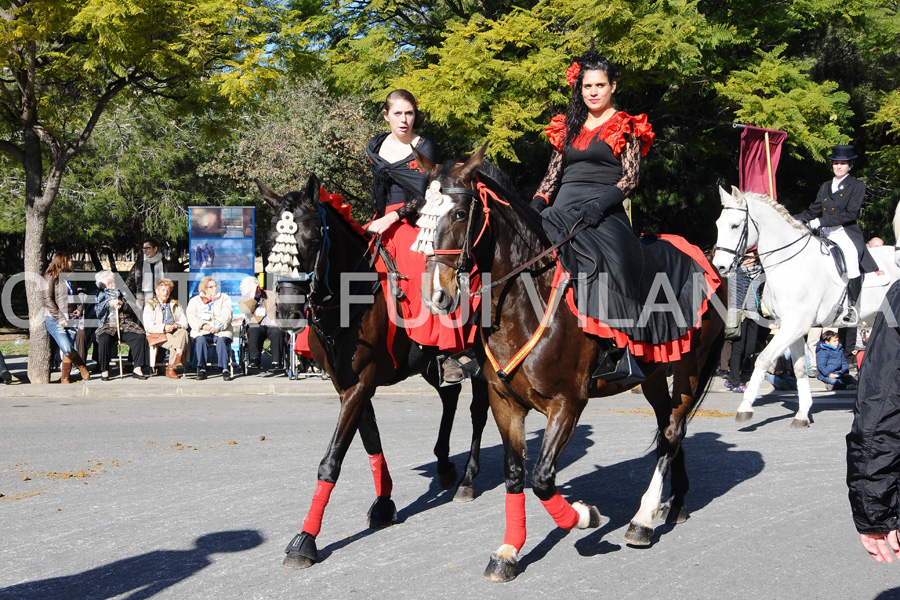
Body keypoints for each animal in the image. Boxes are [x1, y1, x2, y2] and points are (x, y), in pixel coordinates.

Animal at [256, 176, 488, 568]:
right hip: (428, 363)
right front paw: (383, 503)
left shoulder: (361, 383)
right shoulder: (349, 385)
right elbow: (371, 442)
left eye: (314, 240)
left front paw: (306, 539)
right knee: (450, 396)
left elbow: (332, 460)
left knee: (478, 410)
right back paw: (444, 464)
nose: (288, 312)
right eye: (272, 242)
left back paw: (469, 479)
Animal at [414, 146, 724, 580]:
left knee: (673, 431)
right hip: (654, 374)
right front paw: (508, 551)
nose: (435, 295)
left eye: (459, 213)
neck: (526, 300)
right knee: (668, 430)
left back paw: (643, 520)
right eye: (419, 215)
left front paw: (584, 516)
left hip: (688, 367)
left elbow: (543, 479)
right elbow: (515, 476)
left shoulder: (567, 404)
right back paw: (675, 503)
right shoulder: (504, 403)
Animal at [712, 186, 896, 426]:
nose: (719, 266)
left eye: (734, 225)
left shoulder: (796, 325)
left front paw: (745, 408)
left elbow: (762, 359)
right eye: (718, 224)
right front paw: (802, 414)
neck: (789, 262)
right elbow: (799, 369)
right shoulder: (791, 327)